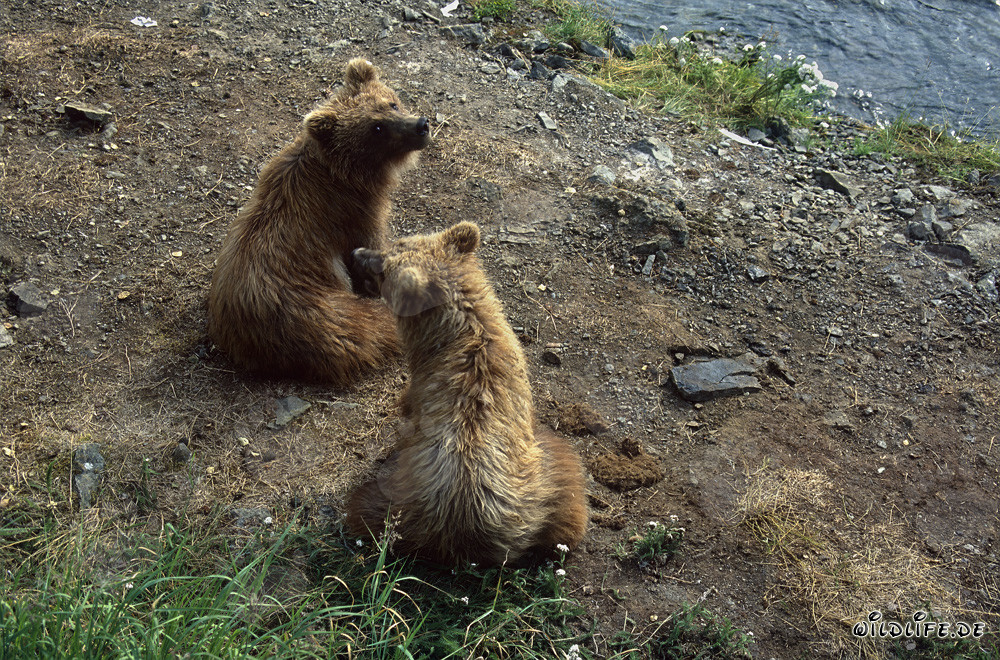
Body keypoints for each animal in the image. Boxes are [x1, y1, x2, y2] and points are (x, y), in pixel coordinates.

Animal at [207, 58, 430, 384]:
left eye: (391, 103)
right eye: (376, 128)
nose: (421, 125)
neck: (344, 173)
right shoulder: (354, 212)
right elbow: (370, 244)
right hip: (318, 311)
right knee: (367, 328)